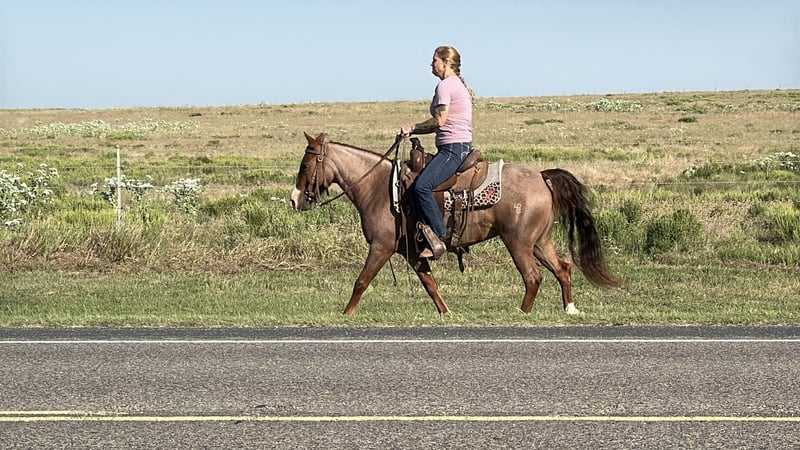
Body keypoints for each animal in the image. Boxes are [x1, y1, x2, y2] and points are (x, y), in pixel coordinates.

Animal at [290, 132, 621, 315]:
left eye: (305, 165)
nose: (295, 199)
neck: (378, 187)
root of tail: (541, 176)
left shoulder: (381, 247)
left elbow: (361, 280)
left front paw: (346, 314)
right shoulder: (412, 251)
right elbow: (430, 284)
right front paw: (446, 312)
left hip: (518, 242)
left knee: (533, 277)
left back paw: (522, 313)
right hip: (539, 241)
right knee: (562, 269)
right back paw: (569, 308)